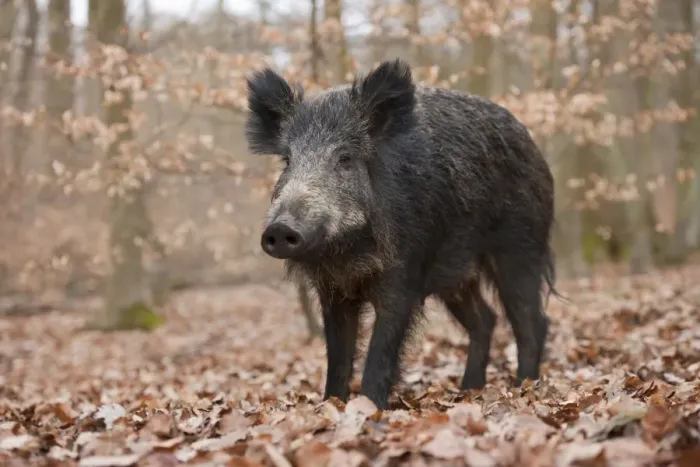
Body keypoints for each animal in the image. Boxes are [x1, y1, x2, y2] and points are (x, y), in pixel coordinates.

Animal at [245, 58, 557, 410]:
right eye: (287, 160)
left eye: (345, 158)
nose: (280, 228)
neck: (349, 253)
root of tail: (533, 147)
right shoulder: (333, 292)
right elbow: (337, 357)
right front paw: (331, 405)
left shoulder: (403, 277)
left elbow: (381, 352)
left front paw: (369, 409)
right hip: (457, 275)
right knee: (485, 319)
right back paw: (468, 391)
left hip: (520, 248)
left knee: (532, 322)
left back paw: (523, 388)